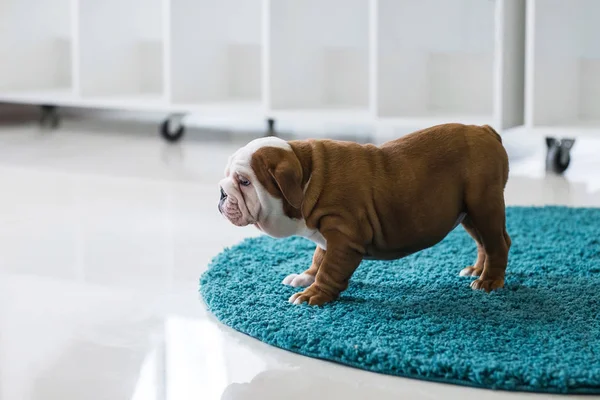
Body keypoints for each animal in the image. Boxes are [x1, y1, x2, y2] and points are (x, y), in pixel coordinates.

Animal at [220, 124, 510, 306]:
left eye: (244, 182)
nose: (222, 193)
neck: (306, 176)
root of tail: (485, 130)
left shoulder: (344, 237)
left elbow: (330, 269)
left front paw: (312, 295)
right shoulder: (327, 236)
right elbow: (319, 257)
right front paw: (306, 276)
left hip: (484, 205)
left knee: (498, 243)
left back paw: (489, 281)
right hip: (469, 213)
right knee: (483, 242)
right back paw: (477, 269)